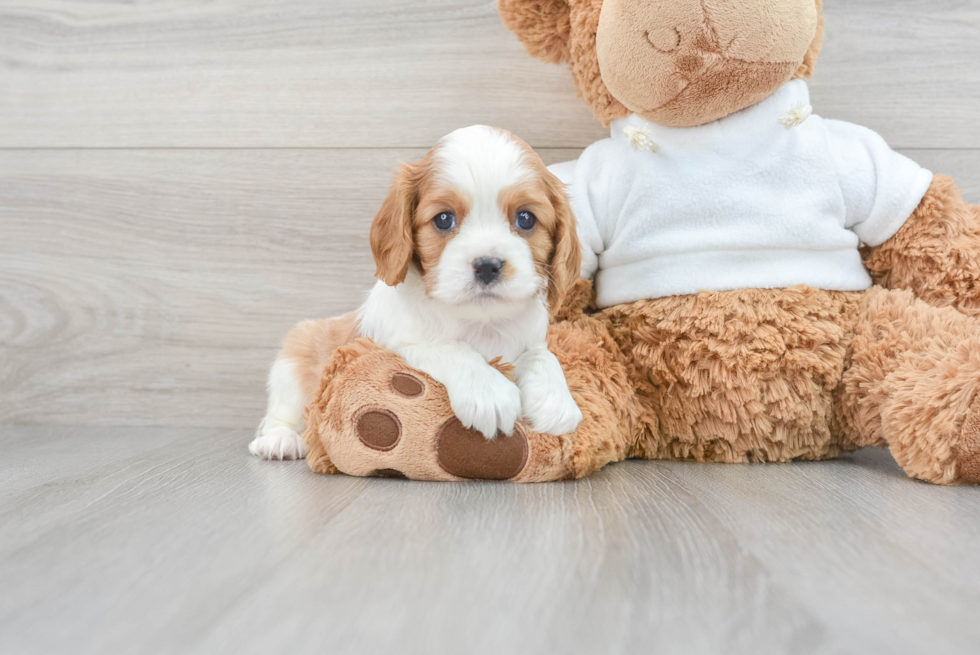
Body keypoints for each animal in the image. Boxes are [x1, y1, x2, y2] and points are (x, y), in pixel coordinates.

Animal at [251, 124, 580, 462]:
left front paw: (556, 401)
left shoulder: (531, 339)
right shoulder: (397, 344)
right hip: (293, 361)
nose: (488, 265)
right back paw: (280, 440)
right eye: (444, 219)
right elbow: (451, 348)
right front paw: (489, 392)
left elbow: (542, 356)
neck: (480, 320)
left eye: (526, 219)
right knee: (278, 415)